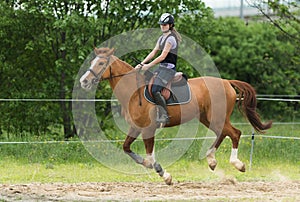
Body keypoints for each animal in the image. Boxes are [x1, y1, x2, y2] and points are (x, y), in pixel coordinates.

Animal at [79, 47, 272, 185]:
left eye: (101, 63)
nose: (84, 81)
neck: (134, 92)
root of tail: (226, 82)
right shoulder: (136, 127)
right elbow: (127, 148)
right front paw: (149, 165)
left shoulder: (148, 129)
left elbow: (150, 154)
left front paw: (164, 175)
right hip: (208, 118)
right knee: (223, 133)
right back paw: (211, 160)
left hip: (217, 118)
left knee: (234, 133)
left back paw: (237, 164)